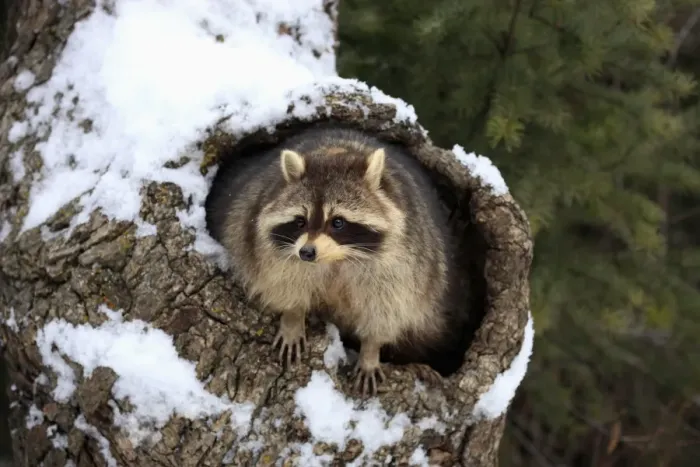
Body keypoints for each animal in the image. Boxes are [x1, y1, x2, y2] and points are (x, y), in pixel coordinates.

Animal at [206, 127, 464, 395]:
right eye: (301, 221)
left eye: (337, 222)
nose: (307, 253)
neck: (336, 259)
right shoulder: (266, 247)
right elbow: (281, 282)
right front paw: (292, 317)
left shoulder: (405, 263)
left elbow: (386, 309)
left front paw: (371, 349)